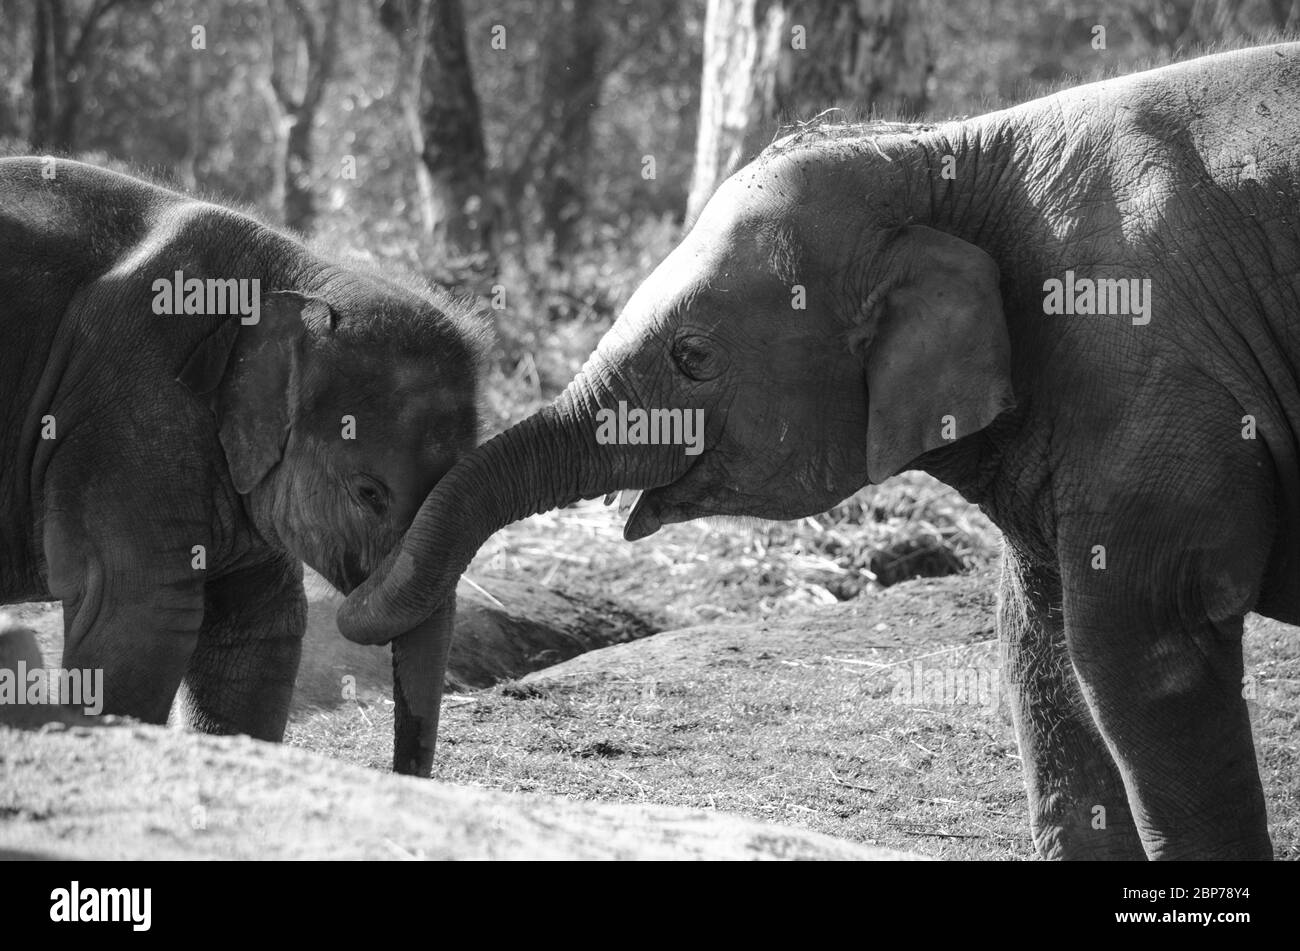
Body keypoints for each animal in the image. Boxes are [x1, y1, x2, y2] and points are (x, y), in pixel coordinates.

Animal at [338, 42, 1300, 858]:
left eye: (694, 357)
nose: (411, 770)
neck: (943, 155)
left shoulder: (1155, 380)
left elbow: (1141, 650)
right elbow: (1043, 641)